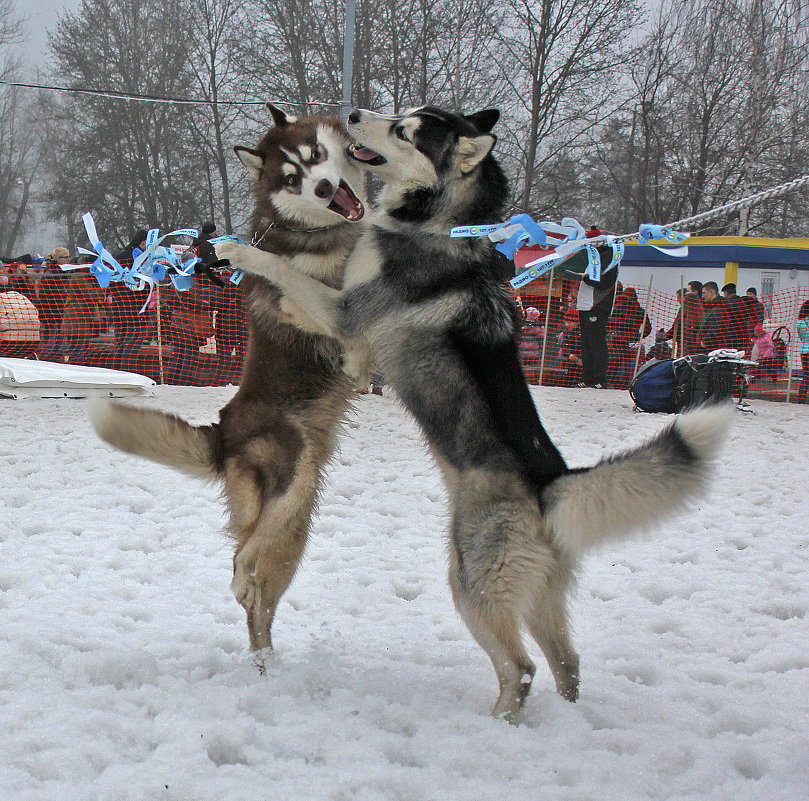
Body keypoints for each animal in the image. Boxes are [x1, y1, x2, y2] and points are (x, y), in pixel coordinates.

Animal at [90, 106, 364, 660]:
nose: (325, 188)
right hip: (291, 476)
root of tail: (223, 432)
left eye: (317, 156)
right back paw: (244, 596)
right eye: (291, 178)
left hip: (294, 527)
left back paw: (266, 660)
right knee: (242, 557)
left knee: (260, 591)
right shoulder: (306, 300)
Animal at [213, 104, 724, 720]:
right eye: (403, 115)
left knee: (521, 668)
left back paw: (498, 723)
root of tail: (550, 484)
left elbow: (288, 274)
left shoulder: (346, 310)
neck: (439, 226)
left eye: (405, 131)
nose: (354, 112)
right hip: (538, 596)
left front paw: (243, 254)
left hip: (471, 582)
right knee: (566, 662)